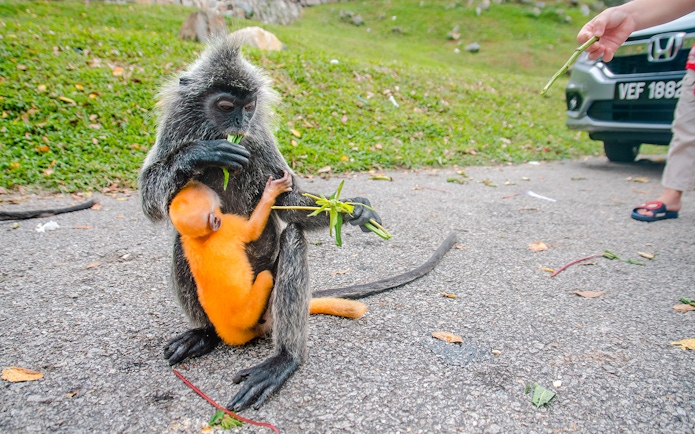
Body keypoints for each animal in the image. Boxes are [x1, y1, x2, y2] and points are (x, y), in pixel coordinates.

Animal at [168, 171, 367, 347]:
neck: (202, 238)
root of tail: (229, 332)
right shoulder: (230, 226)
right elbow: (253, 230)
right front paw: (272, 191)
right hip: (253, 311)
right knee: (280, 254)